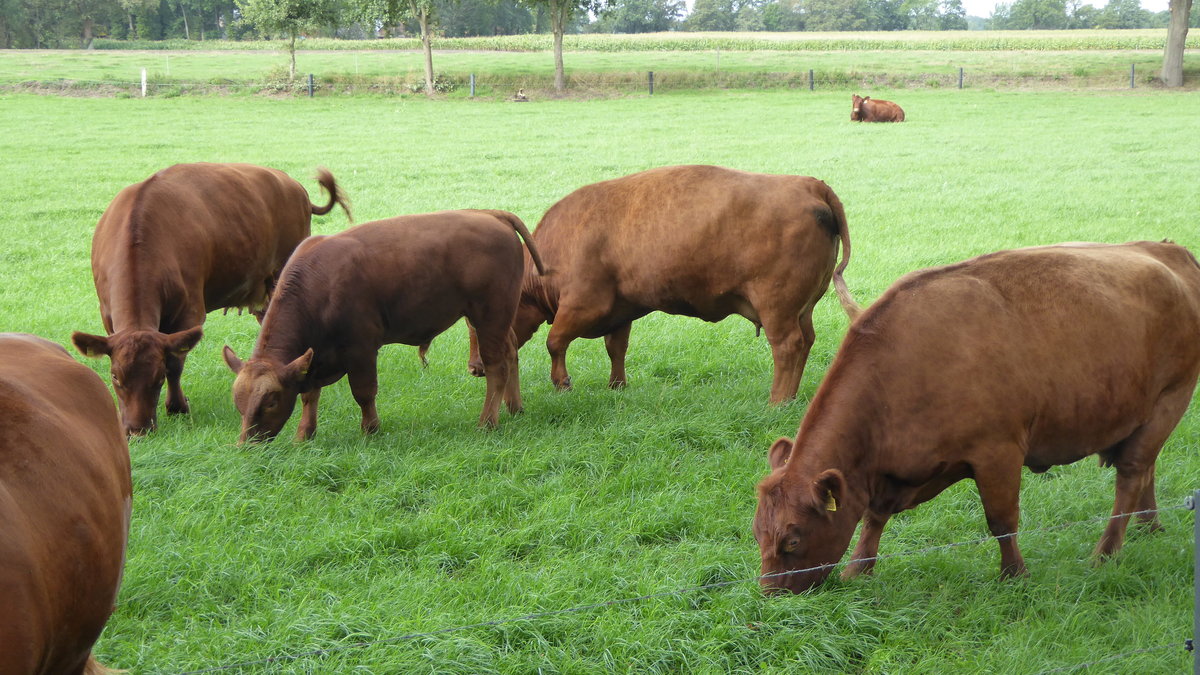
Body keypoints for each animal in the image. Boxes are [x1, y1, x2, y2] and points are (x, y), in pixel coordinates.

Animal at [73, 163, 350, 437]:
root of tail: (291, 184)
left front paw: (177, 407)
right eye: (115, 377)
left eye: (158, 378)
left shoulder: (189, 312)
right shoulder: (108, 316)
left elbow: (175, 362)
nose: (138, 430)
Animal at [223, 210, 547, 441]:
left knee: (496, 366)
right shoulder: (313, 358)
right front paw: (304, 434)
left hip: (490, 316)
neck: (319, 283)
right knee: (511, 352)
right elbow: (308, 395)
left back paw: (487, 422)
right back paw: (514, 407)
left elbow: (364, 392)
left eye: (271, 401)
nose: (246, 444)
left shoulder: (361, 348)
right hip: (498, 320)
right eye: (238, 403)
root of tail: (490, 214)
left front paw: (370, 429)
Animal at [463, 164, 859, 401]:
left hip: (777, 307)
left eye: (473, 324)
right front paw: (617, 387)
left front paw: (562, 382)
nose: (474, 368)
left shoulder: (582, 304)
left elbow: (555, 341)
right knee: (806, 342)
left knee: (788, 347)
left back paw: (777, 401)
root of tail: (810, 185)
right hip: (801, 308)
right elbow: (616, 348)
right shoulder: (619, 311)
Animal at [753, 239, 1200, 590]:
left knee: (1131, 475)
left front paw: (1014, 575)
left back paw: (1105, 553)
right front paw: (857, 571)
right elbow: (873, 517)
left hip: (1171, 399)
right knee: (1146, 469)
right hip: (1141, 414)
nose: (772, 594)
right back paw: (1149, 526)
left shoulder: (998, 453)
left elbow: (1001, 520)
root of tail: (1166, 250)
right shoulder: (892, 473)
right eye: (757, 532)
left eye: (792, 540)